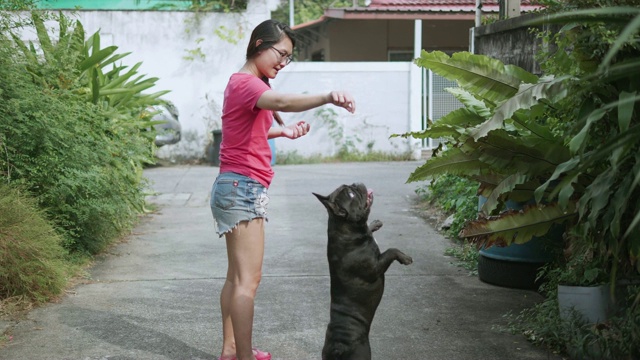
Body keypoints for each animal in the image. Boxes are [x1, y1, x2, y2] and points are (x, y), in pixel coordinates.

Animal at [312, 184, 412, 358]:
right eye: (351, 194)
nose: (355, 184)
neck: (347, 228)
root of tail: (337, 347)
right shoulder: (375, 267)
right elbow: (391, 251)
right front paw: (405, 258)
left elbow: (370, 229)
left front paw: (375, 224)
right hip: (362, 352)